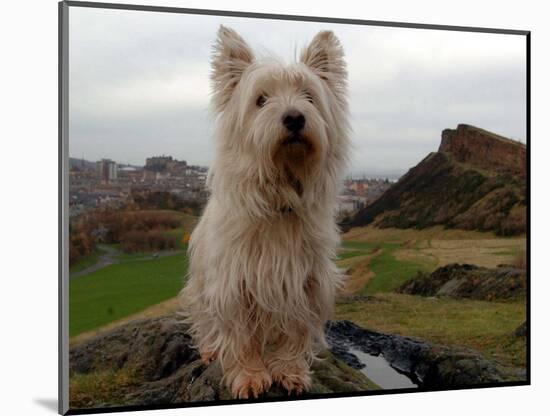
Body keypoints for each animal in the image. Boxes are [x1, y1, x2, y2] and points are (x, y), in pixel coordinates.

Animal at [182, 26, 354, 400]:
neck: (279, 199)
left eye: (309, 96)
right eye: (261, 100)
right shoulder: (234, 284)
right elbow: (241, 336)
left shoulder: (303, 282)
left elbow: (294, 330)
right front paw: (249, 376)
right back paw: (210, 348)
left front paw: (289, 370)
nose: (294, 118)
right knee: (205, 321)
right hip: (203, 285)